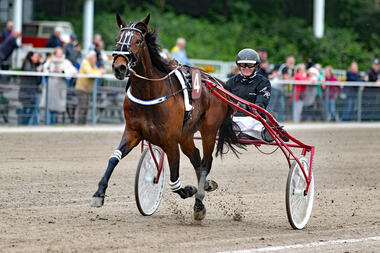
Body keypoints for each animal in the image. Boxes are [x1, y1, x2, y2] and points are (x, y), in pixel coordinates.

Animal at [90, 13, 242, 219]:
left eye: (137, 41)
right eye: (117, 39)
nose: (119, 67)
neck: (149, 93)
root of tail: (215, 82)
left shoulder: (170, 141)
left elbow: (174, 181)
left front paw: (190, 190)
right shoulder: (132, 133)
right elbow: (114, 158)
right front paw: (99, 193)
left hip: (209, 130)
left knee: (205, 163)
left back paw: (199, 201)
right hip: (186, 134)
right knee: (196, 158)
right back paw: (205, 189)